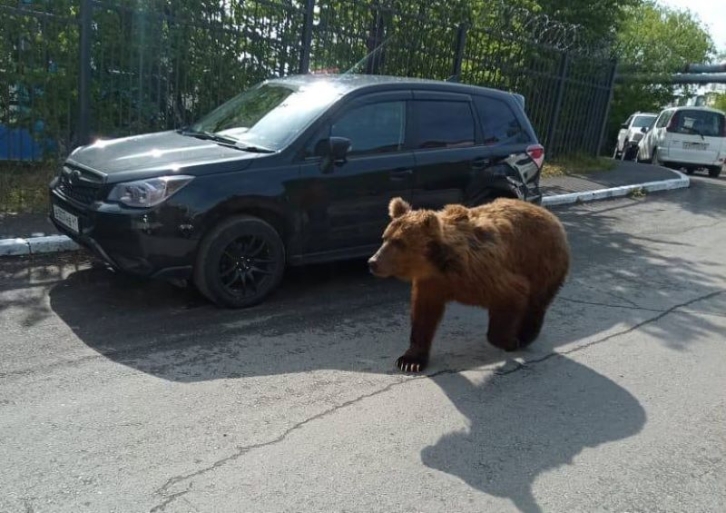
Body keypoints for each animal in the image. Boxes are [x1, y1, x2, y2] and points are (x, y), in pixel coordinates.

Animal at [372, 196, 572, 372]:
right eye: (385, 237)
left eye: (399, 242)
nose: (372, 262)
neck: (440, 265)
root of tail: (547, 213)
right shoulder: (431, 283)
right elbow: (423, 316)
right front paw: (410, 361)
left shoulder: (484, 274)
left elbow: (512, 293)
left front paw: (509, 341)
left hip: (543, 262)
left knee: (536, 302)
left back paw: (524, 336)